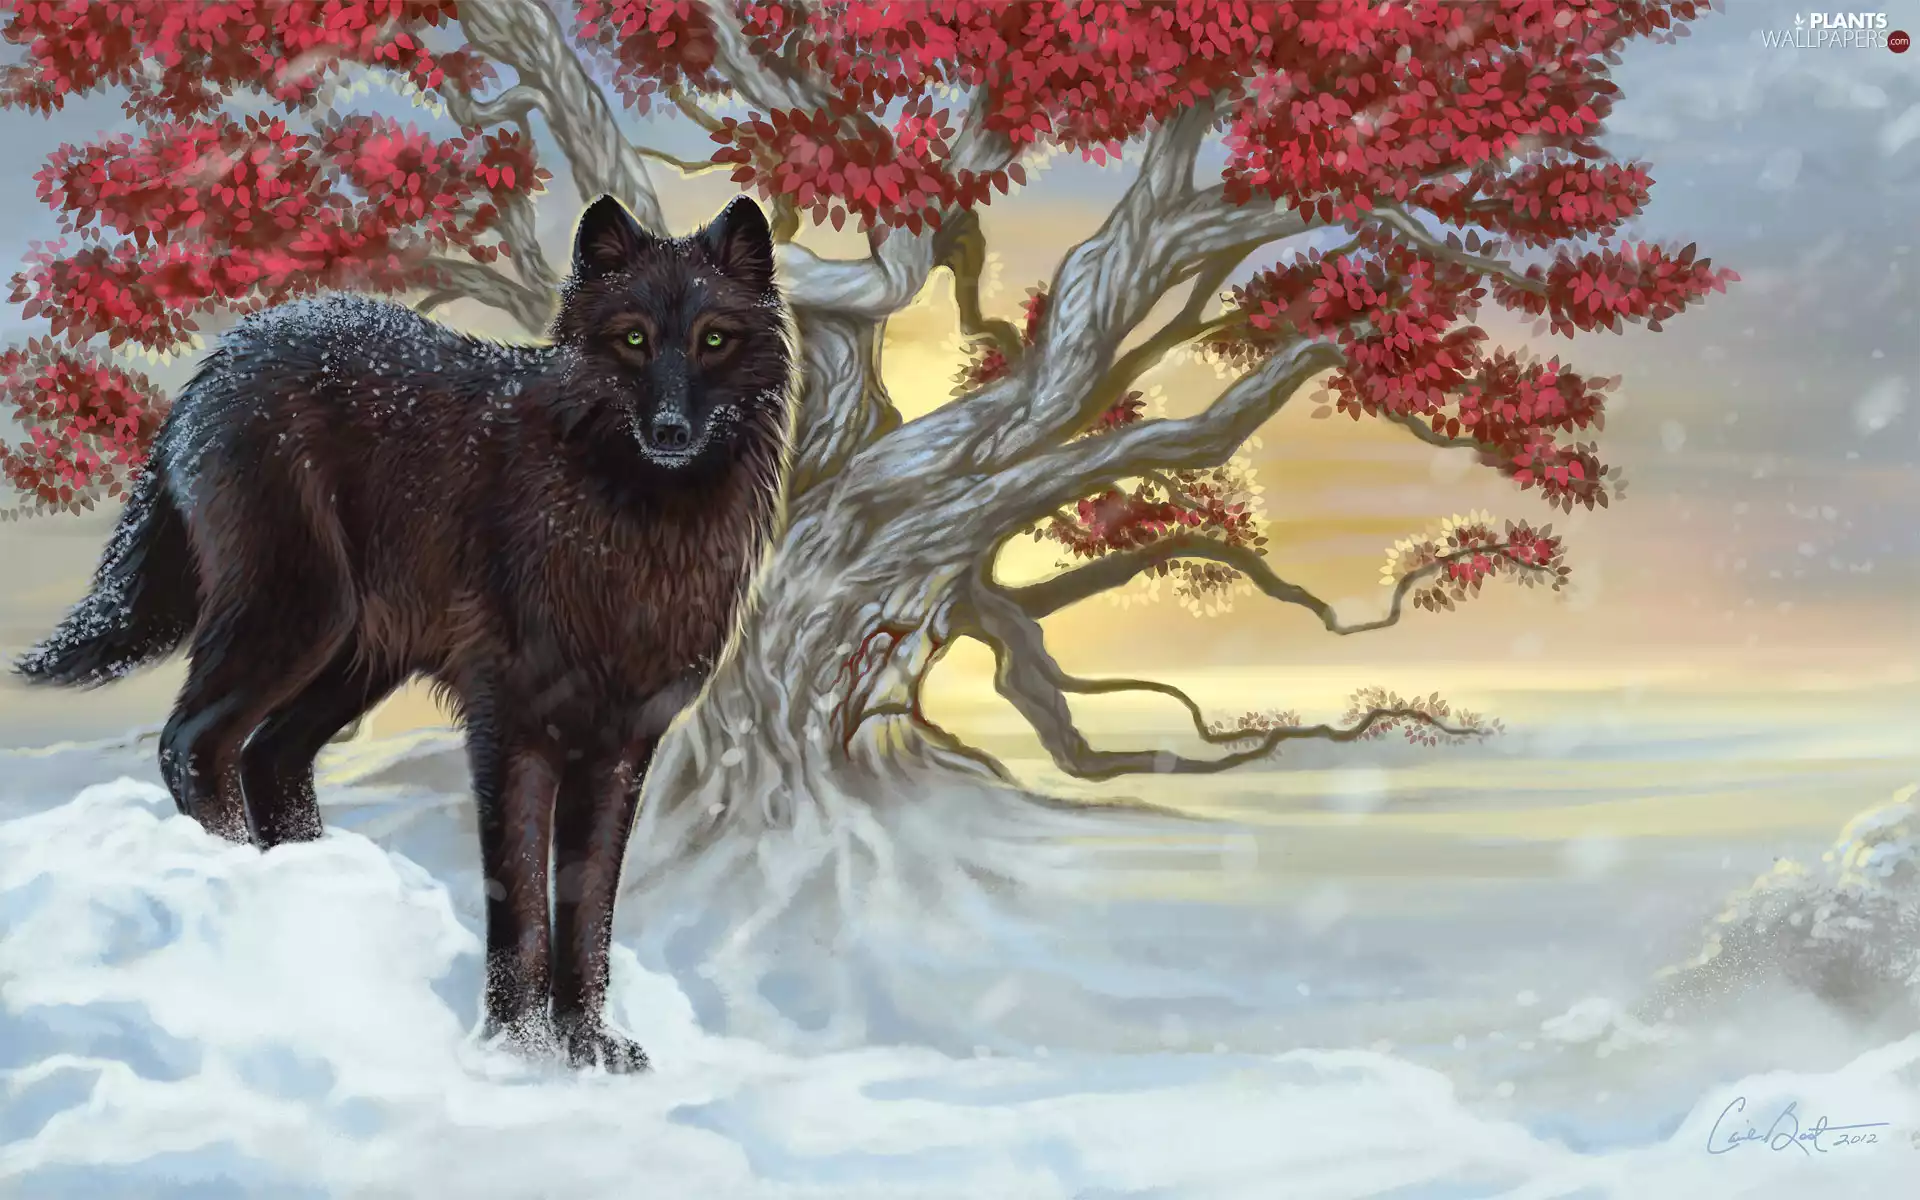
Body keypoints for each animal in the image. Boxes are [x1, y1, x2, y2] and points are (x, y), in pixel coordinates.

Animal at [13, 194, 795, 1072]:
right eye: (633, 338)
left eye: (714, 339)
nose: (667, 430)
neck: (627, 524)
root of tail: (227, 356)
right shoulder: (511, 729)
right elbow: (522, 906)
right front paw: (520, 1052)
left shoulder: (621, 747)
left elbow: (589, 908)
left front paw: (586, 1047)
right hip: (292, 622)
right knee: (192, 742)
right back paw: (242, 882)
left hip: (356, 658)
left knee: (269, 756)